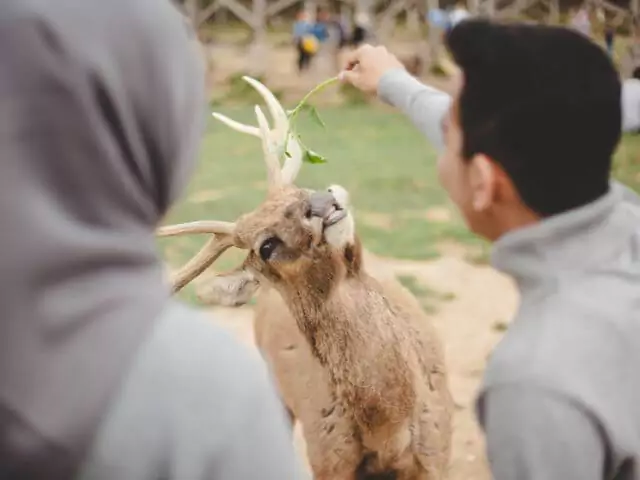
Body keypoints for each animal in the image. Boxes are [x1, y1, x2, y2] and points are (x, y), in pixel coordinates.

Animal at [157, 77, 452, 478]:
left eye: (299, 190)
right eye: (266, 246)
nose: (323, 202)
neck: (388, 435)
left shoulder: (437, 454)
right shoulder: (328, 458)